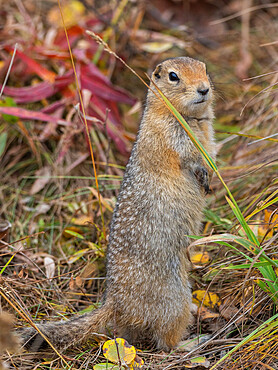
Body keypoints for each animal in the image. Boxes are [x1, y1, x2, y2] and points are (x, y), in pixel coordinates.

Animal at [20, 57, 215, 352]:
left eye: (204, 69)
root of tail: (114, 301)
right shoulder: (172, 136)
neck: (188, 117)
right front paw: (202, 174)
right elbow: (188, 158)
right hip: (175, 298)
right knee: (165, 341)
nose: (204, 89)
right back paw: (191, 343)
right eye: (173, 76)